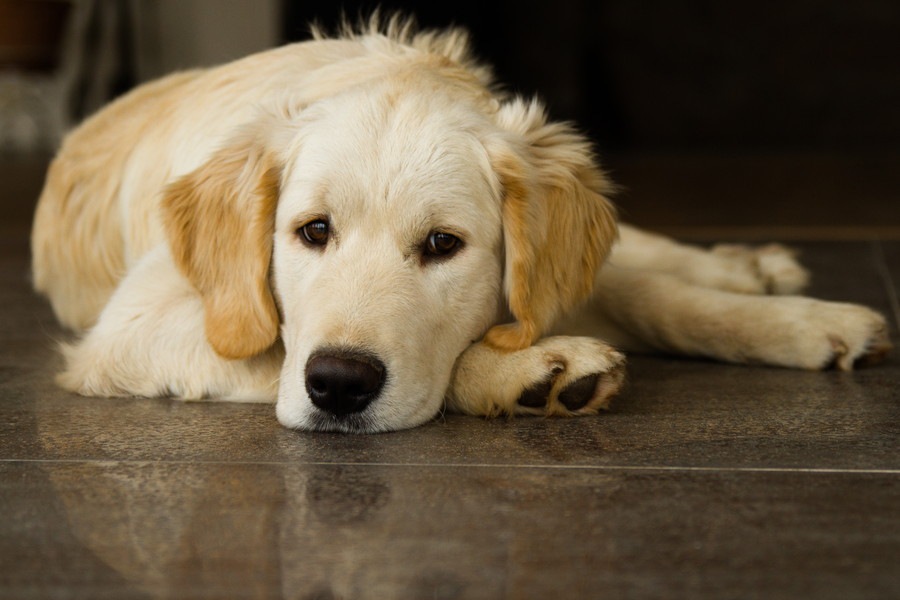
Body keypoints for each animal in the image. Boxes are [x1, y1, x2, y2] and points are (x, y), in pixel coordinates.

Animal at [31, 17, 888, 432]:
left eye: (443, 245)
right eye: (312, 232)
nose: (338, 386)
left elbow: (658, 299)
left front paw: (806, 323)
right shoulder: (127, 331)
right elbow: (276, 347)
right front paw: (528, 372)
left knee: (637, 260)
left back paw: (751, 266)